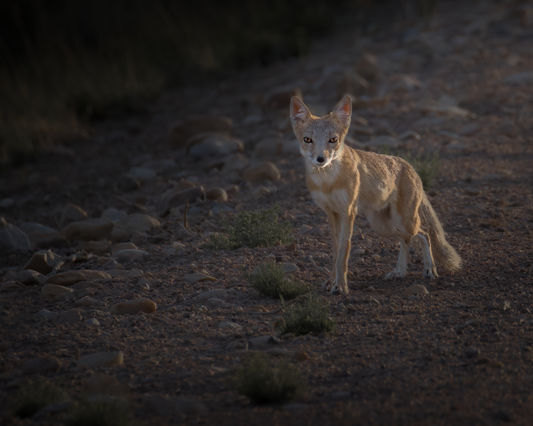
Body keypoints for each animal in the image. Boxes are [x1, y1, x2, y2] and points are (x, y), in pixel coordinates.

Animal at [288, 95, 460, 296]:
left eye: (333, 140)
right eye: (308, 140)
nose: (321, 159)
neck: (328, 182)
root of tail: (409, 165)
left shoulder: (348, 212)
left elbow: (343, 251)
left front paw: (341, 286)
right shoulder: (331, 213)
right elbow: (335, 251)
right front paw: (331, 281)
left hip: (405, 222)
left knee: (424, 233)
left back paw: (429, 269)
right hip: (383, 227)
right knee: (407, 239)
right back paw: (400, 272)